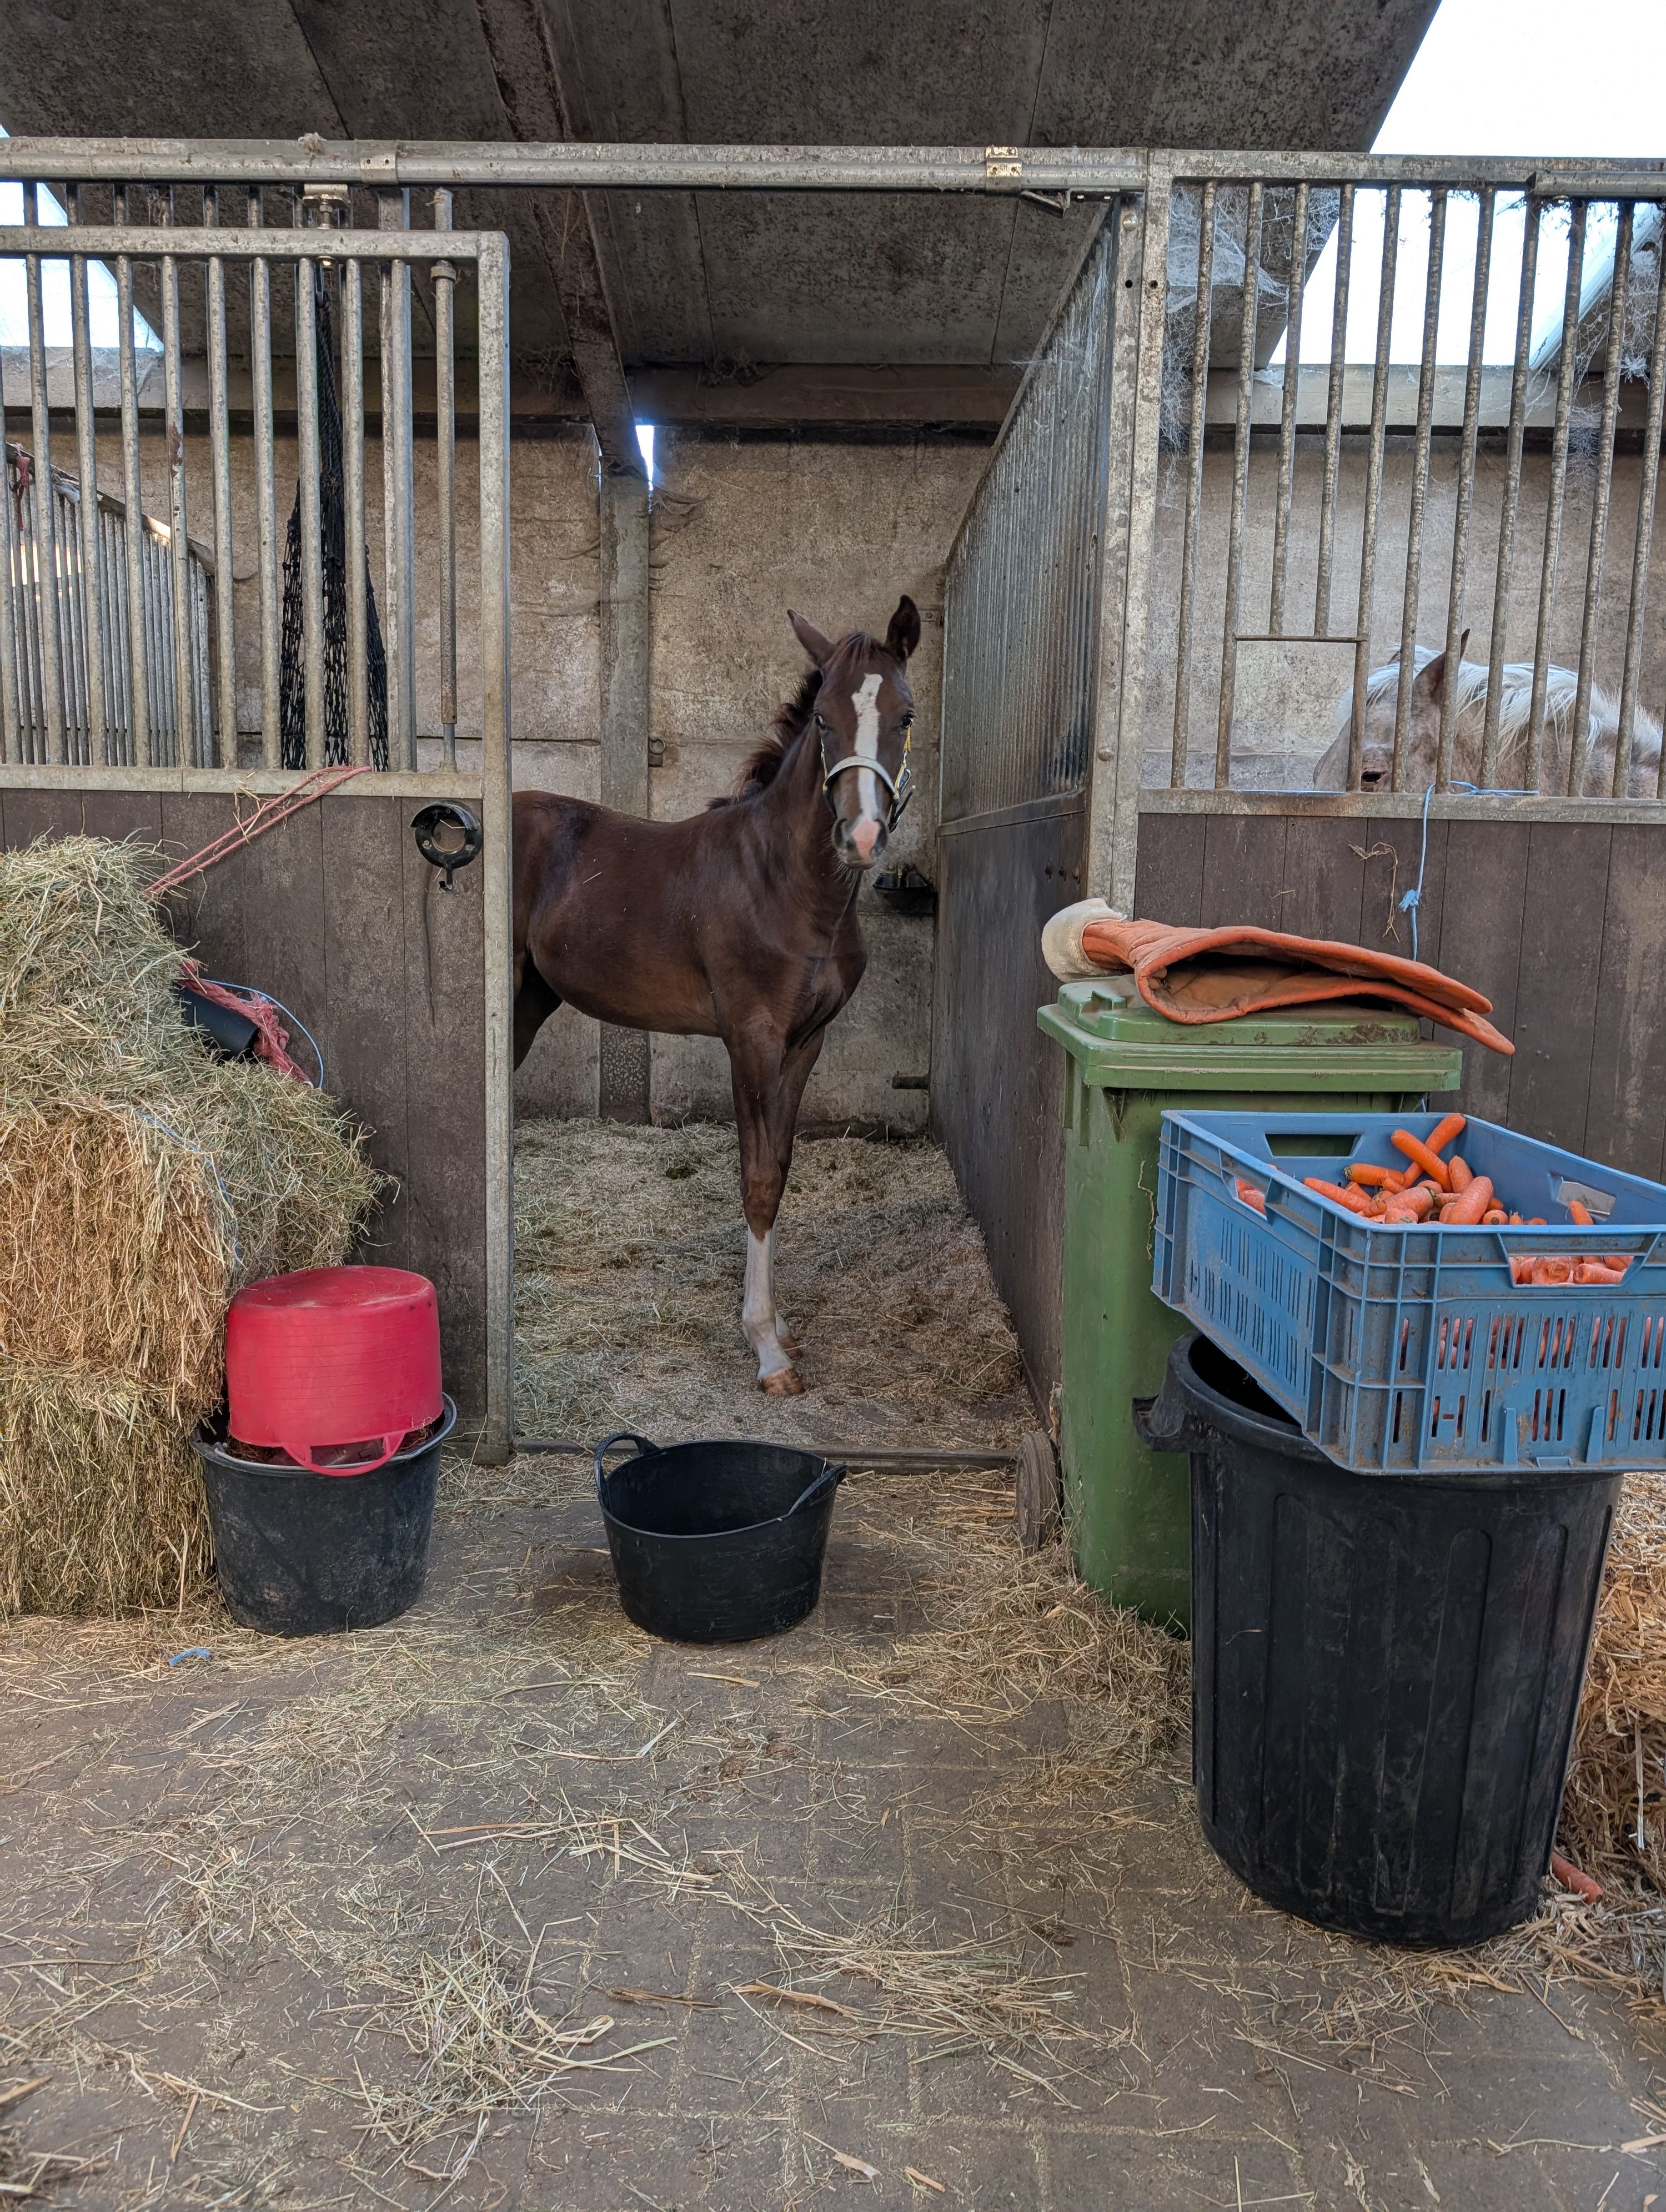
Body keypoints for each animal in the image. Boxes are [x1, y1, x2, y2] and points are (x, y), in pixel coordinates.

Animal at [512, 596, 921, 1395]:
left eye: (906, 715)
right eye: (822, 718)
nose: (860, 837)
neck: (787, 885)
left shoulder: (805, 1042)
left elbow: (782, 1168)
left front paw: (780, 1326)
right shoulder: (752, 1038)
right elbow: (756, 1178)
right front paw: (766, 1349)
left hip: (528, 1000)